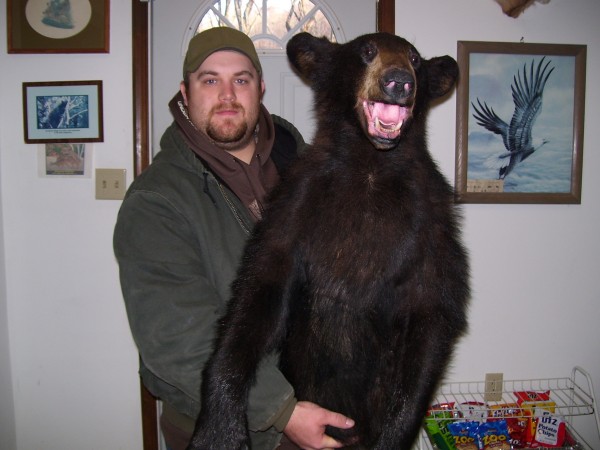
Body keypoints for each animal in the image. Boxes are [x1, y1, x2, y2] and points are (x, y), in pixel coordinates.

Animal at [188, 31, 468, 450]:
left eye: (416, 59)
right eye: (366, 51)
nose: (399, 81)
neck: (371, 168)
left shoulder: (433, 221)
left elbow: (433, 309)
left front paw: (394, 434)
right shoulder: (297, 204)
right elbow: (260, 290)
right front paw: (220, 429)